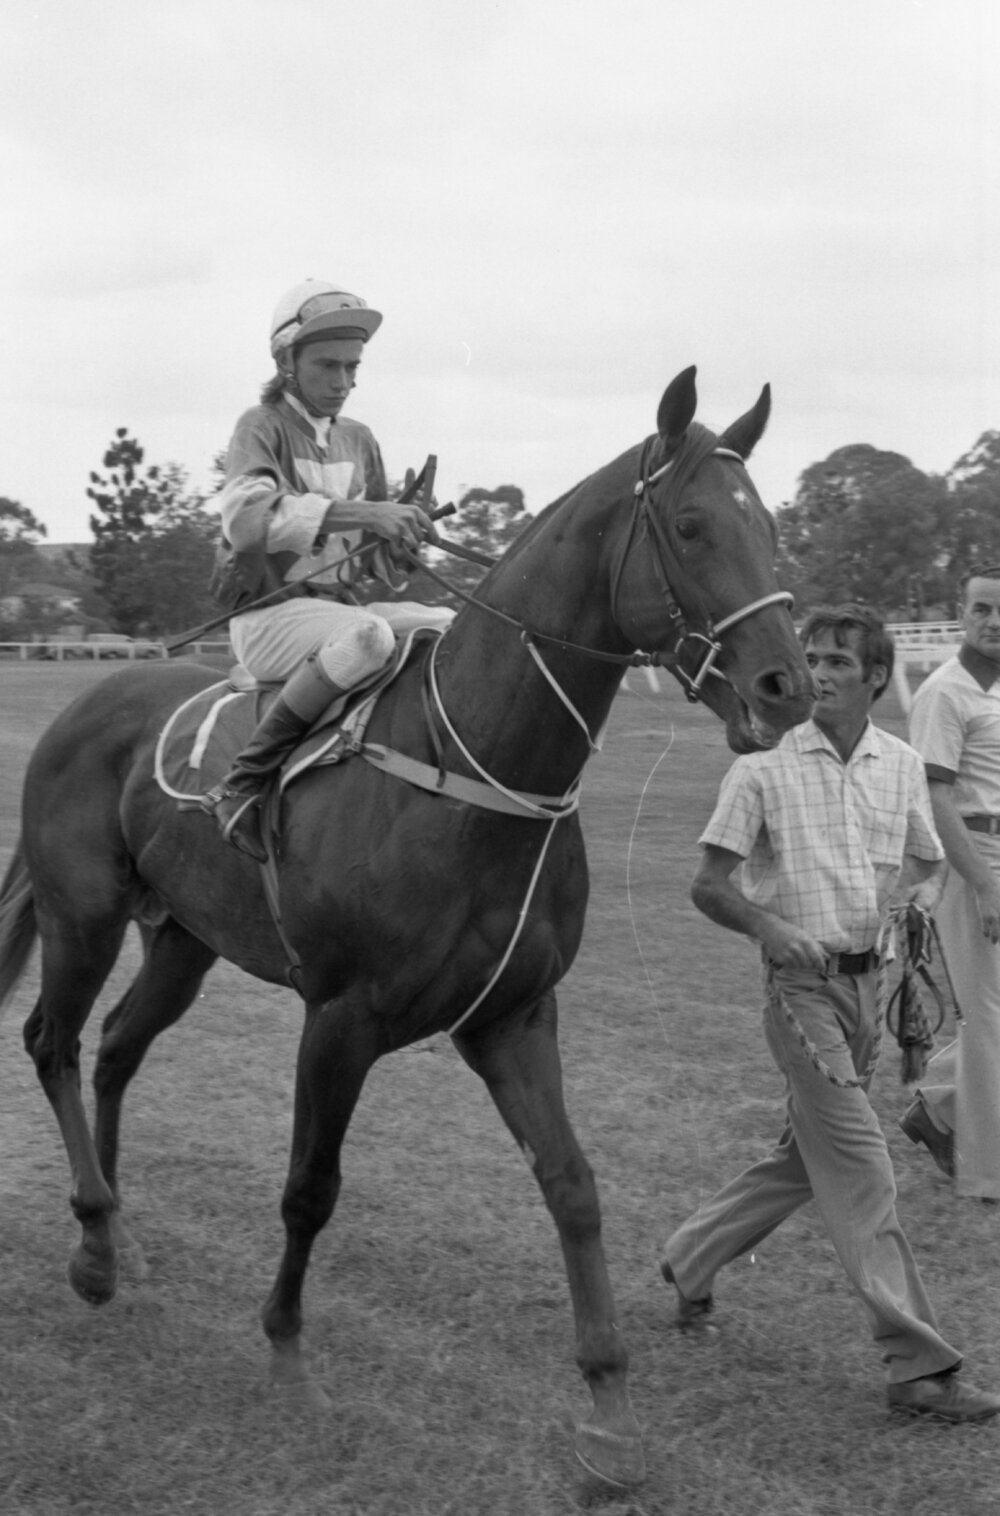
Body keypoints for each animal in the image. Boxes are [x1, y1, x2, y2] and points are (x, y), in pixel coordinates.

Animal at [0, 366, 814, 1487]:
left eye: (767, 525)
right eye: (691, 526)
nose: (788, 687)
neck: (477, 766)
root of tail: (91, 698)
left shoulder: (514, 1015)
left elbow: (574, 1186)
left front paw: (608, 1408)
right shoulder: (339, 1019)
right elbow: (311, 1187)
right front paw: (287, 1353)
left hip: (184, 938)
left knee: (117, 1048)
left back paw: (119, 1234)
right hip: (83, 914)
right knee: (53, 1042)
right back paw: (89, 1245)